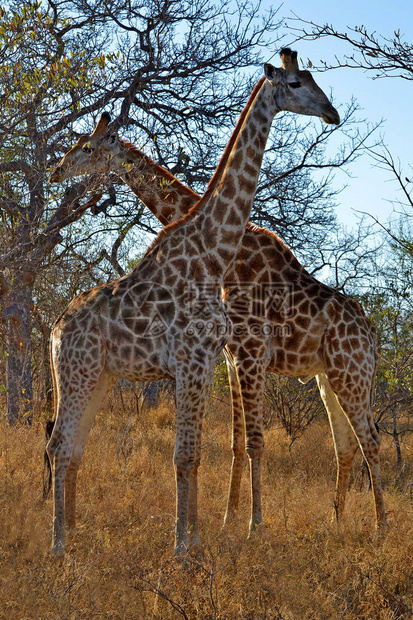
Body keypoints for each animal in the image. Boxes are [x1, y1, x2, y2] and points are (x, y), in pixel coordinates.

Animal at [47, 48, 344, 556]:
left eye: (311, 79)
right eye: (294, 84)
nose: (333, 113)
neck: (214, 250)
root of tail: (53, 330)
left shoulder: (209, 362)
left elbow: (199, 454)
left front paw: (199, 538)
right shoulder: (192, 360)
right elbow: (185, 456)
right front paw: (184, 547)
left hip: (99, 376)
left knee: (72, 448)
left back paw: (71, 537)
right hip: (78, 373)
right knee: (59, 446)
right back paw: (59, 547)